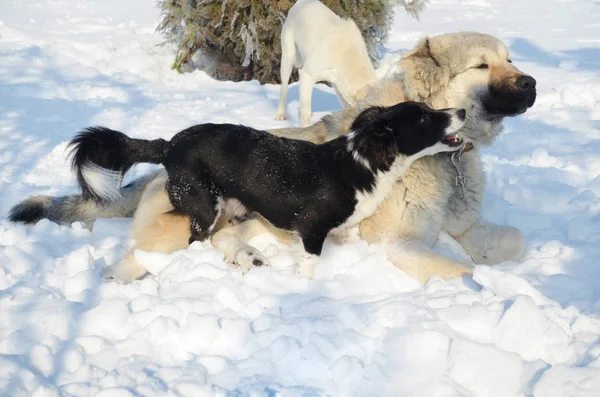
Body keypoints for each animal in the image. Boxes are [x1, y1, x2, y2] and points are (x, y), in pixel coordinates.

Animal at [69, 101, 464, 276]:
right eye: (425, 116)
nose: (460, 110)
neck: (361, 162)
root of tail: (169, 145)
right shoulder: (312, 230)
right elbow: (308, 267)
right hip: (203, 207)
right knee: (199, 242)